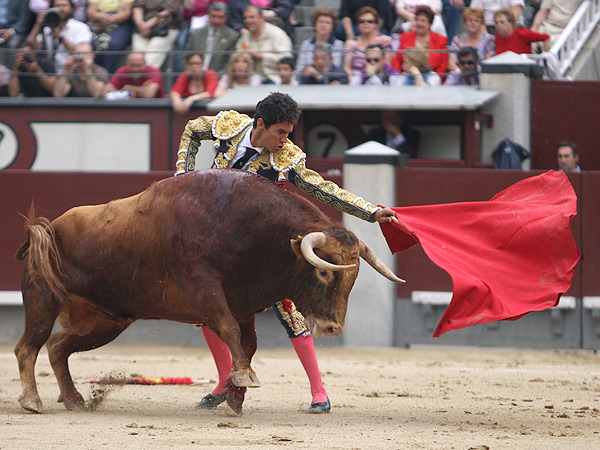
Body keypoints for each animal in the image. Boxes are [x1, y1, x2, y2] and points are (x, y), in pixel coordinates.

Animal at [14, 169, 404, 414]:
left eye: (352, 277)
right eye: (323, 271)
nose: (333, 328)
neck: (252, 232)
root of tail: (48, 229)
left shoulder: (242, 304)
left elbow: (247, 344)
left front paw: (235, 395)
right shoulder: (205, 289)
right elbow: (229, 332)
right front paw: (244, 380)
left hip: (107, 320)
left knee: (58, 346)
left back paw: (73, 398)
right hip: (42, 298)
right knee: (28, 346)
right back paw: (32, 401)